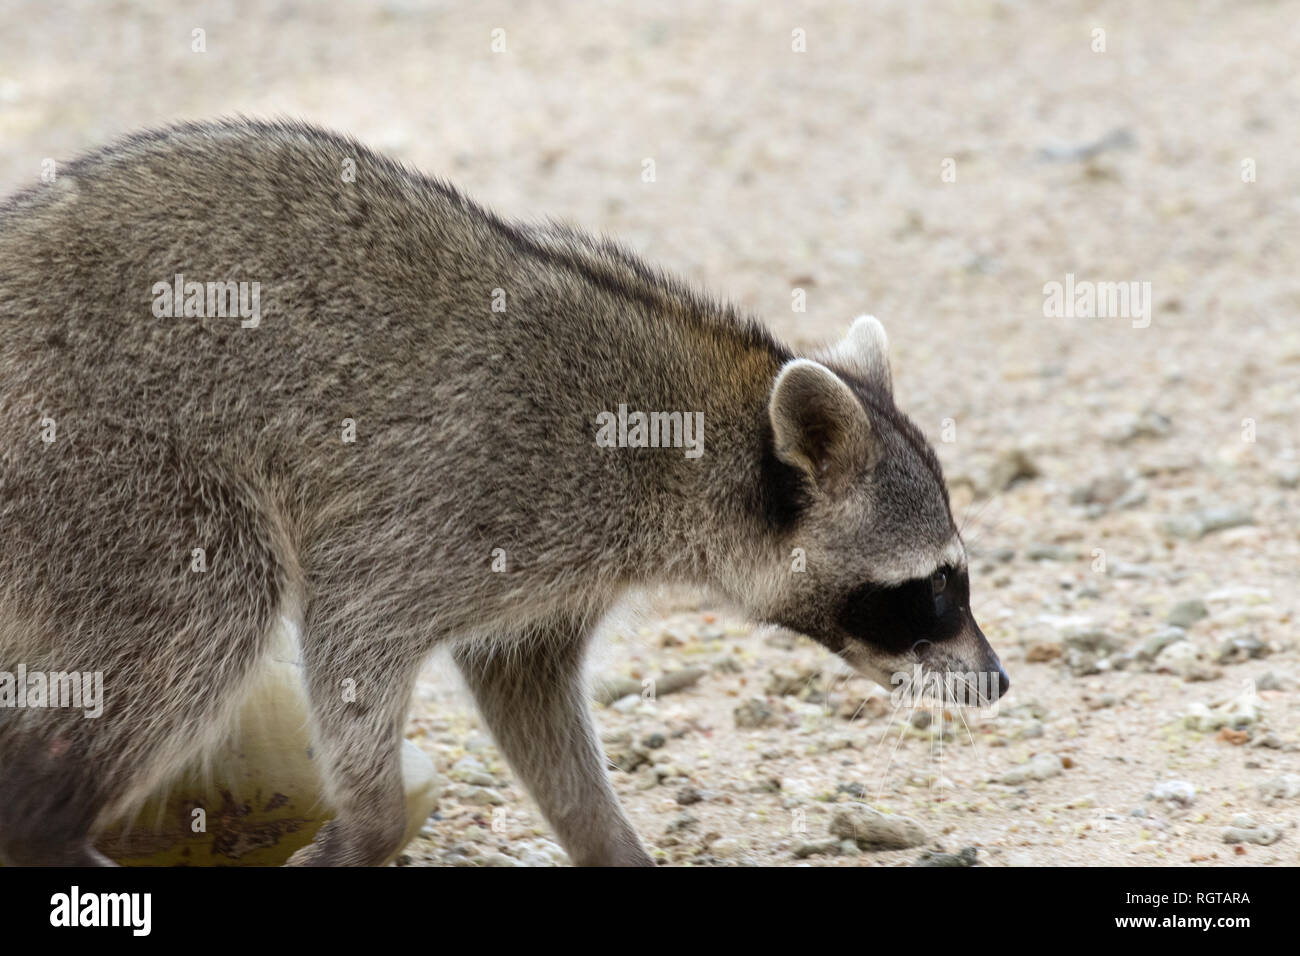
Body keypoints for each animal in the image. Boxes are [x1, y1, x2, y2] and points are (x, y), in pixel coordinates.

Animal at [0, 117, 1003, 868]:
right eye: (932, 587)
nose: (995, 681)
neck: (713, 425)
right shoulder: (464, 493)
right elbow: (356, 626)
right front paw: (370, 821)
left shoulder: (550, 580)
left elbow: (529, 696)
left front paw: (607, 840)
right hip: (95, 461)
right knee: (207, 607)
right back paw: (45, 822)